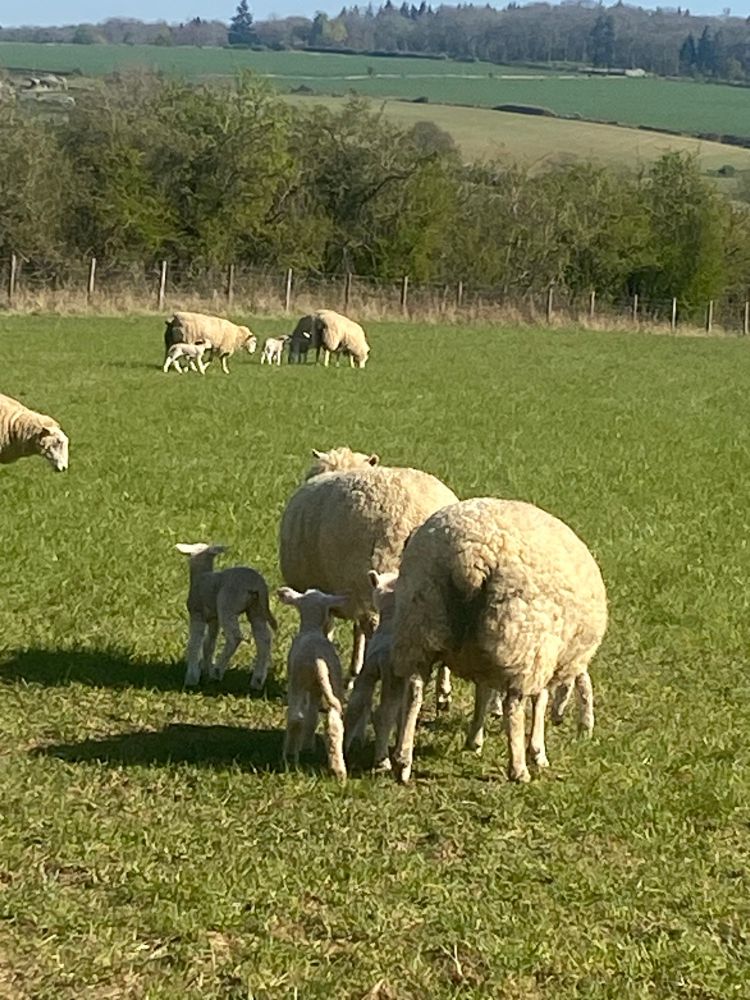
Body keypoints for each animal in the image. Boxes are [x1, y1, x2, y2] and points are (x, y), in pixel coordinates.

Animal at [176, 542, 277, 690]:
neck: (201, 575)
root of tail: (257, 584)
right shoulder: (214, 619)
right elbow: (209, 644)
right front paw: (206, 670)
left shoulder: (197, 614)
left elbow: (194, 643)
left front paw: (192, 677)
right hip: (256, 608)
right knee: (264, 639)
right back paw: (257, 681)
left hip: (227, 604)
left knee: (235, 637)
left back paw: (218, 672)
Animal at [277, 587, 348, 782]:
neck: (312, 629)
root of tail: (319, 662)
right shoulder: (317, 689)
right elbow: (312, 716)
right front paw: (308, 745)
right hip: (334, 684)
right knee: (334, 725)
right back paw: (338, 770)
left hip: (298, 681)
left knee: (295, 717)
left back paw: (289, 755)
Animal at [279, 447, 457, 698]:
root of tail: (416, 515)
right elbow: (355, 631)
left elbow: (332, 630)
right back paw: (443, 692)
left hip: (376, 573)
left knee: (377, 630)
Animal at [388, 498, 607, 785]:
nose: (560, 721)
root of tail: (471, 554)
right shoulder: (541, 653)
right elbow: (539, 700)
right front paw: (537, 751)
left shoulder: (484, 654)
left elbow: (484, 691)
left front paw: (474, 740)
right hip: (522, 635)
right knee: (512, 706)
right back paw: (519, 769)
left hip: (420, 618)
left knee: (414, 691)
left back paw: (403, 762)